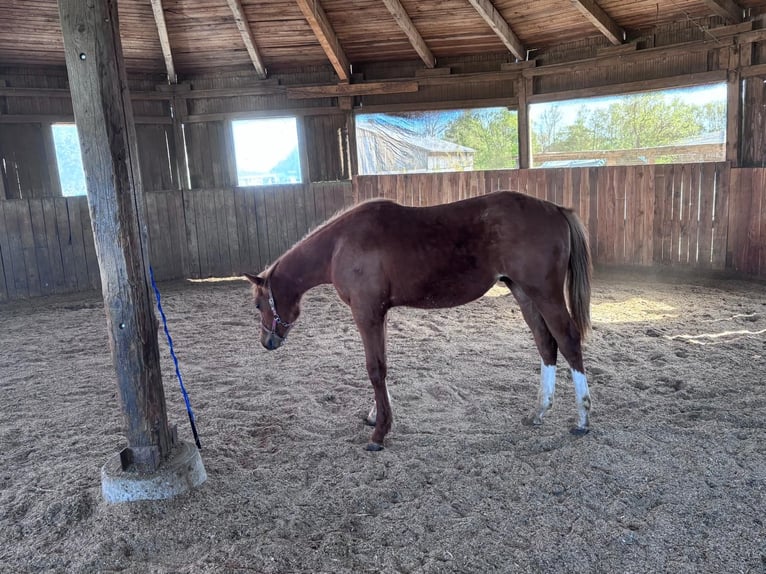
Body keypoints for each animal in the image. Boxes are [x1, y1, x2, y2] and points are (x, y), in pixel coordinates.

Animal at [244, 190, 592, 451]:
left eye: (259, 303)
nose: (267, 342)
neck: (340, 244)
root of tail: (556, 209)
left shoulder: (366, 313)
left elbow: (374, 369)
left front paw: (379, 433)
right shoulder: (379, 314)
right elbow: (382, 366)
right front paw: (377, 415)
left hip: (545, 294)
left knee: (568, 339)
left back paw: (582, 419)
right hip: (524, 293)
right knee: (545, 344)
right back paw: (538, 412)